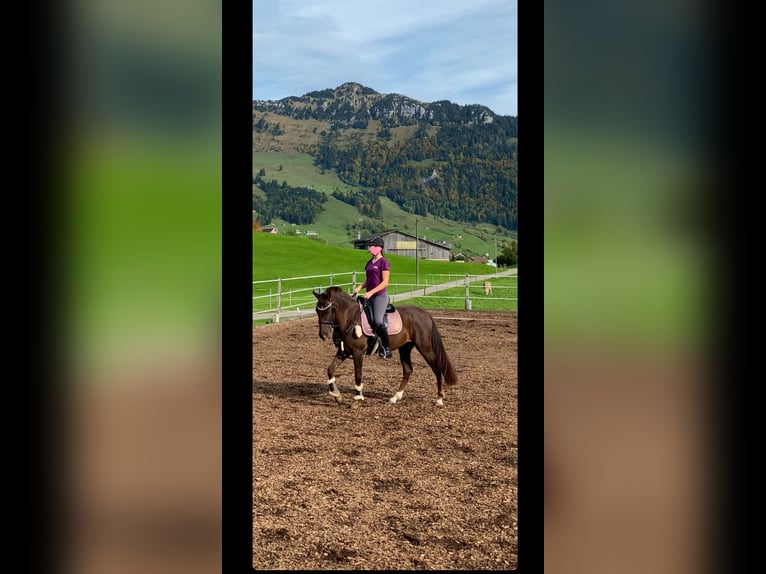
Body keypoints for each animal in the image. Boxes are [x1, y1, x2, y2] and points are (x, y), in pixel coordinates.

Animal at [312, 288, 456, 410]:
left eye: (329, 310)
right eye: (317, 310)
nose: (323, 335)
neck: (350, 319)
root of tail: (425, 314)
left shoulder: (358, 353)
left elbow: (358, 375)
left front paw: (356, 400)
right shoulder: (343, 352)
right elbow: (330, 370)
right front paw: (337, 396)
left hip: (425, 348)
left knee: (436, 369)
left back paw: (439, 399)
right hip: (405, 348)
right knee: (408, 370)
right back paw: (395, 397)